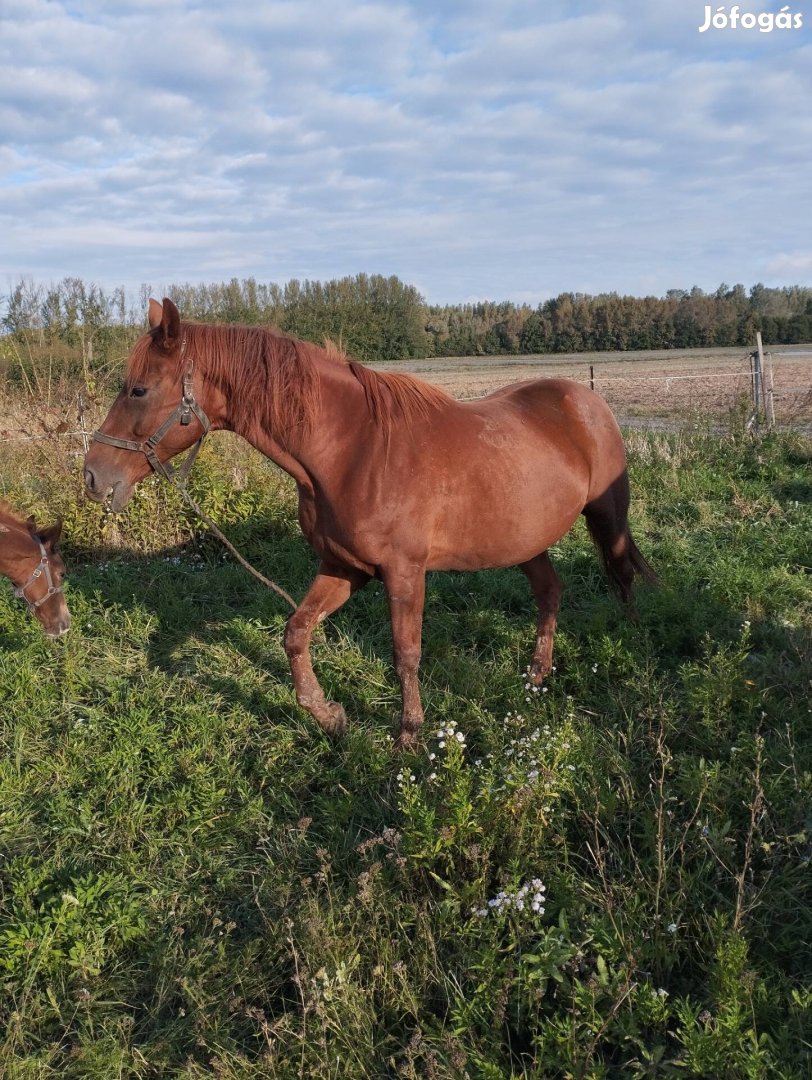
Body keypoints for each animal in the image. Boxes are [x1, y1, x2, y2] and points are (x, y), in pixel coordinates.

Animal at [84, 300, 652, 747]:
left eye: (138, 390)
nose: (93, 476)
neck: (354, 451)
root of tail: (586, 398)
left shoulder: (404, 573)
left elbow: (406, 654)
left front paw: (409, 735)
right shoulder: (344, 568)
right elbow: (296, 633)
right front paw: (329, 715)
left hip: (607, 517)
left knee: (622, 577)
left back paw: (627, 652)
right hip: (525, 540)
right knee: (550, 591)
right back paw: (536, 675)